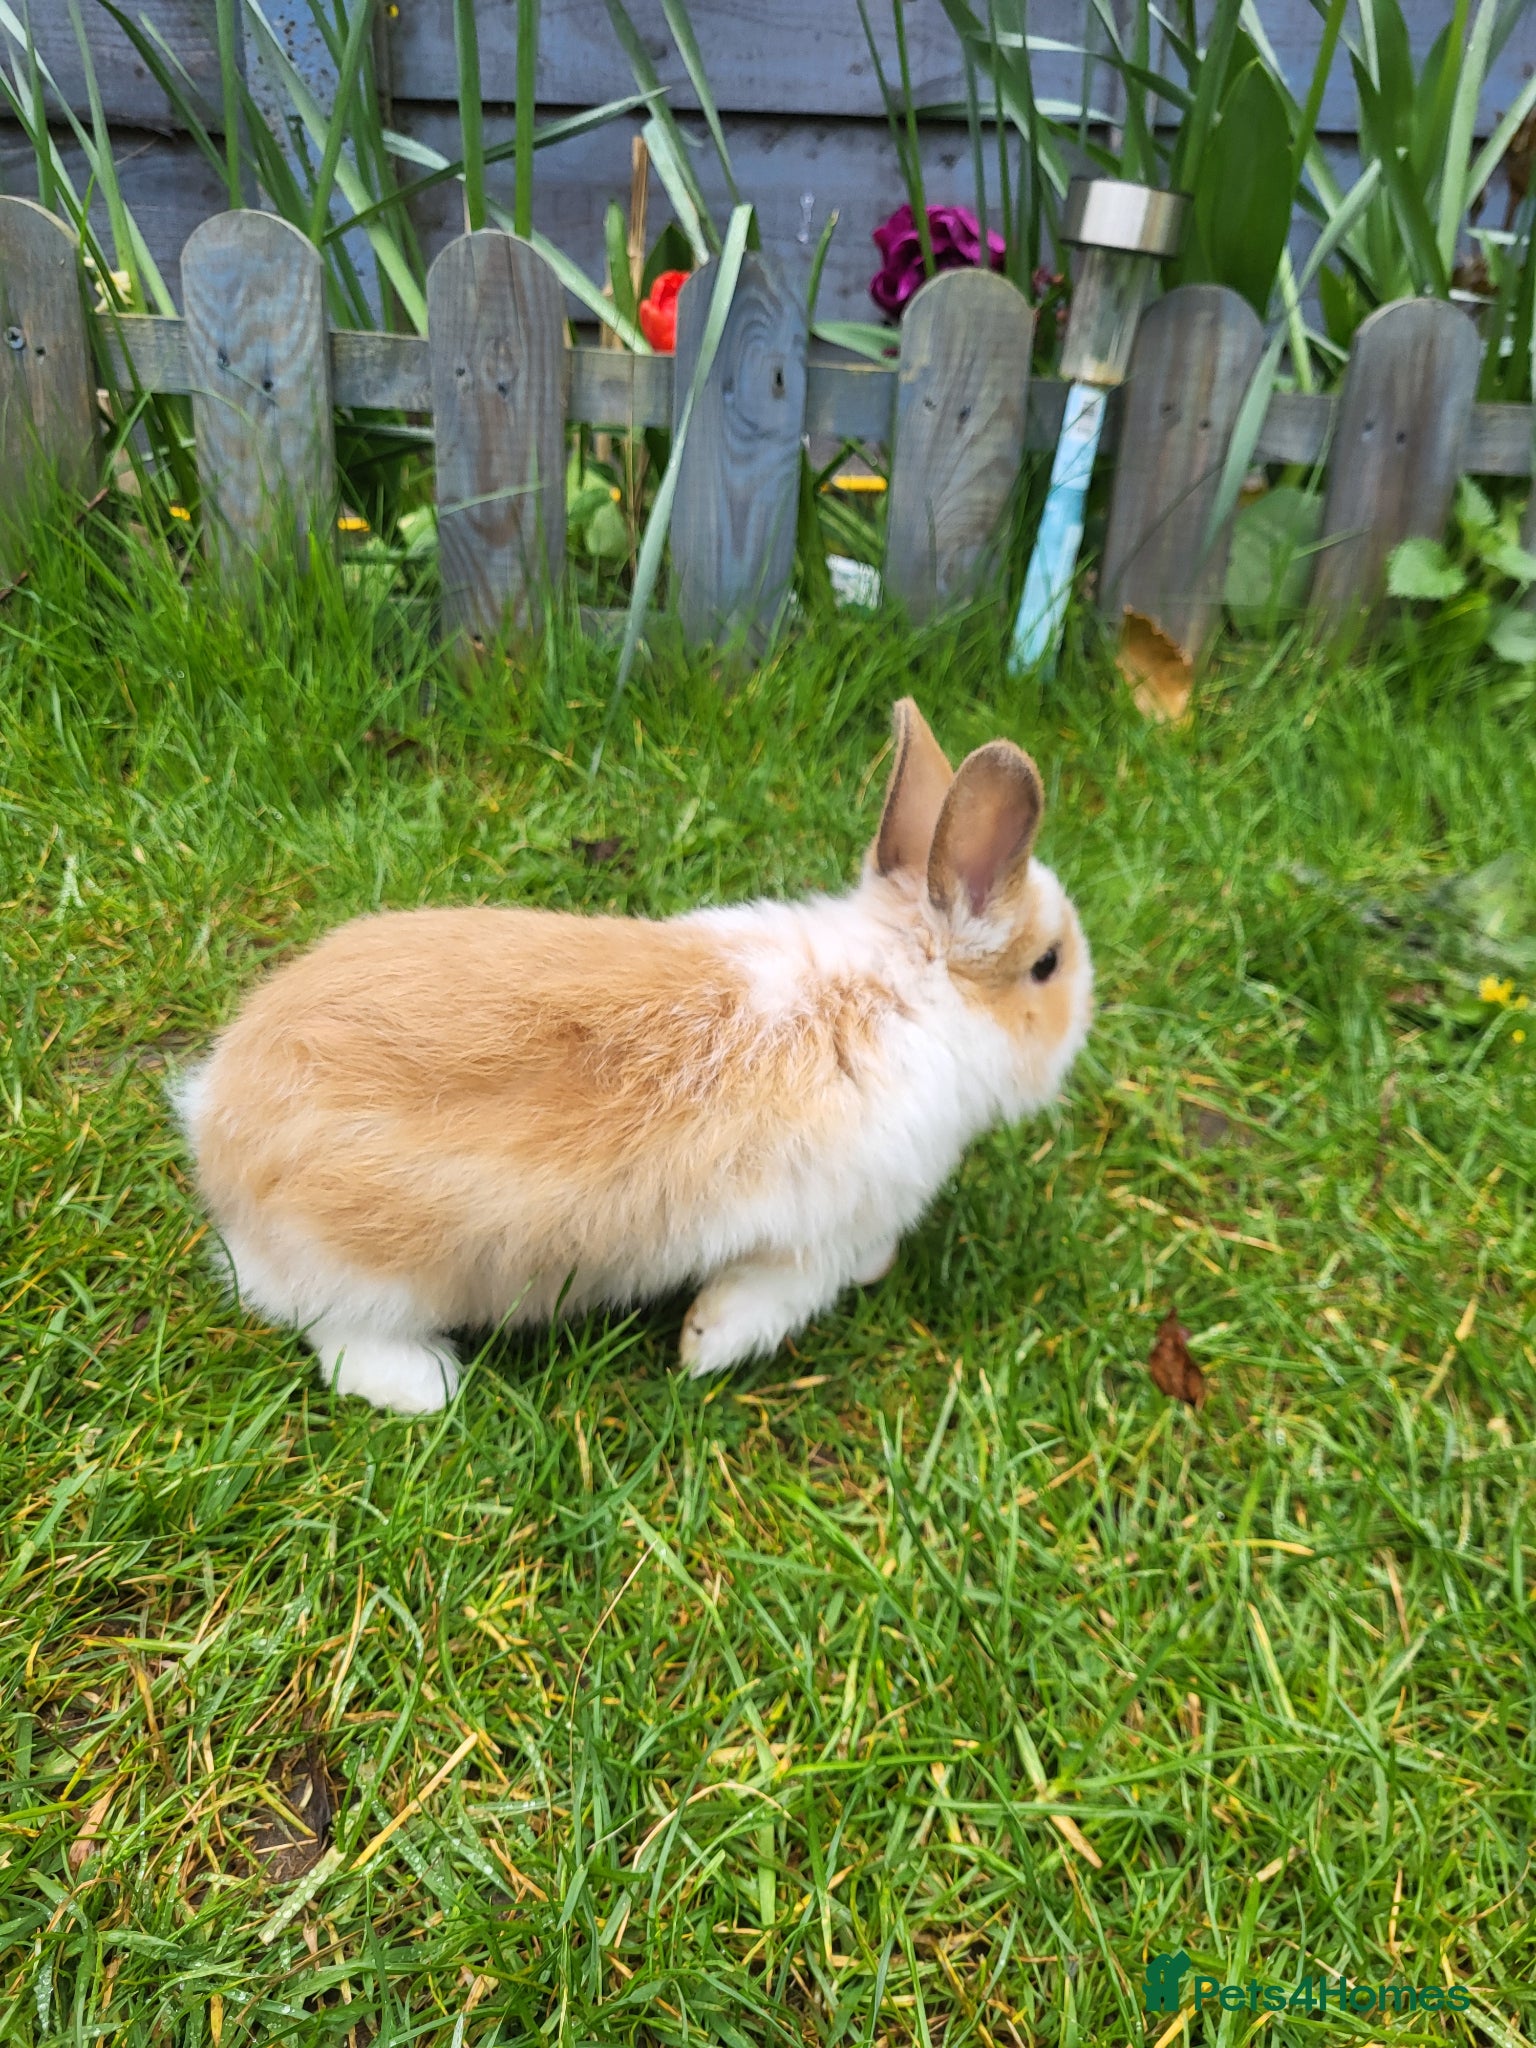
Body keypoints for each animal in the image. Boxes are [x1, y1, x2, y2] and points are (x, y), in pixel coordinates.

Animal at [176, 699, 1093, 1414]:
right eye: (1047, 965)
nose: (1083, 1020)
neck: (900, 988)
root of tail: (217, 1127)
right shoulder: (816, 1240)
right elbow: (763, 1300)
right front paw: (705, 1347)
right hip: (378, 1272)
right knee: (337, 1336)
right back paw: (426, 1387)